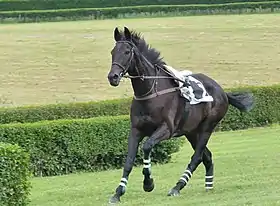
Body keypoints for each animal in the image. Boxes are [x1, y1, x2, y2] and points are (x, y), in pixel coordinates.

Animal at [106, 26, 254, 204]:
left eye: (127, 51)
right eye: (113, 51)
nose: (113, 77)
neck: (151, 92)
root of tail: (223, 92)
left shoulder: (166, 129)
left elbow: (147, 146)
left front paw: (148, 183)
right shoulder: (136, 130)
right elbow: (128, 161)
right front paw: (118, 193)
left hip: (207, 128)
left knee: (197, 157)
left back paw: (177, 187)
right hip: (192, 132)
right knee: (207, 156)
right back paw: (208, 185)